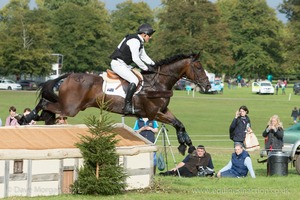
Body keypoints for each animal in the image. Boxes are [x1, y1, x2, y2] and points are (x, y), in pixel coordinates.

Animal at [33, 52, 211, 155]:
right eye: (198, 67)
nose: (208, 86)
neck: (158, 83)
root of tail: (68, 76)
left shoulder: (163, 111)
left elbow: (179, 124)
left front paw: (187, 144)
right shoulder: (154, 113)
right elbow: (177, 123)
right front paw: (184, 145)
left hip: (71, 106)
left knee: (48, 107)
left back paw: (43, 119)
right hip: (70, 108)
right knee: (44, 103)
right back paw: (31, 117)